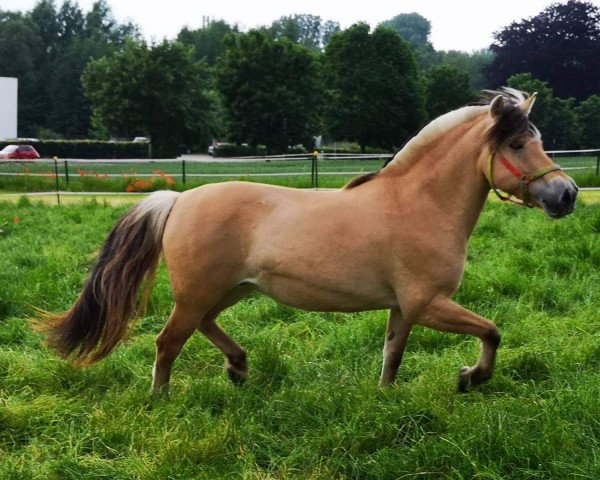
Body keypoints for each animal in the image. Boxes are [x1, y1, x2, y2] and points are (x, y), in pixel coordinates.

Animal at [39, 89, 580, 394]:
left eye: (538, 140)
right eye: (517, 144)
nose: (567, 193)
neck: (419, 204)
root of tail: (178, 200)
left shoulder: (404, 308)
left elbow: (392, 355)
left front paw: (385, 398)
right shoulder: (429, 303)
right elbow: (492, 332)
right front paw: (470, 378)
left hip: (230, 290)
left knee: (204, 327)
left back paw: (238, 368)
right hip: (197, 294)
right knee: (167, 342)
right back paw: (161, 401)